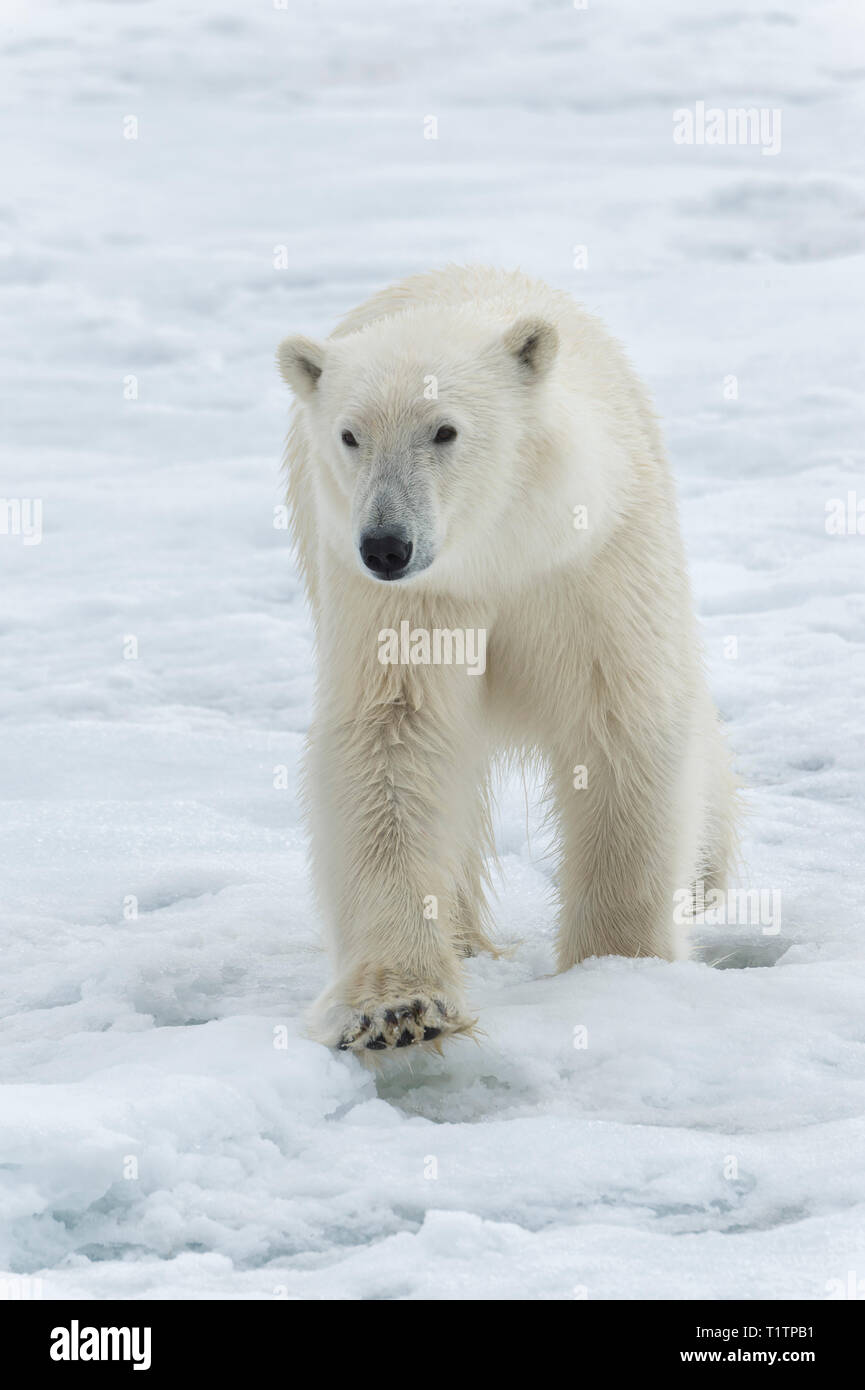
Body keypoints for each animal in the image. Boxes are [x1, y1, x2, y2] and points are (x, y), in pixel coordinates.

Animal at [277, 265, 738, 1053]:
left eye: (444, 430)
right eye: (349, 436)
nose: (386, 545)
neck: (499, 551)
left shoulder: (590, 565)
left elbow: (622, 724)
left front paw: (621, 964)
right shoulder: (402, 604)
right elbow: (391, 741)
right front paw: (396, 1009)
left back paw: (708, 875)